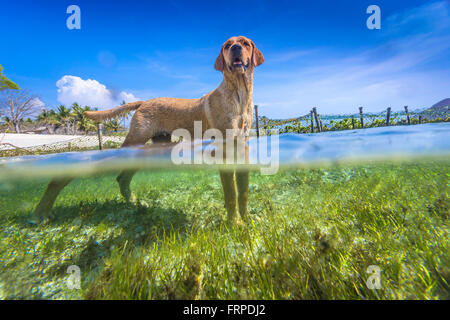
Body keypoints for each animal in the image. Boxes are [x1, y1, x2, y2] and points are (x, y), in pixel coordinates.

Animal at [34, 35, 264, 224]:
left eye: (245, 43)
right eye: (226, 45)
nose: (235, 48)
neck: (238, 93)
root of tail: (143, 102)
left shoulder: (242, 150)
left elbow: (243, 192)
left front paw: (247, 220)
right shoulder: (224, 151)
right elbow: (231, 194)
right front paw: (235, 224)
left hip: (153, 147)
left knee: (122, 177)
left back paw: (134, 203)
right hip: (135, 141)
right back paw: (41, 211)